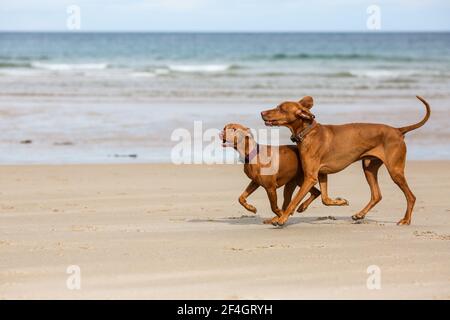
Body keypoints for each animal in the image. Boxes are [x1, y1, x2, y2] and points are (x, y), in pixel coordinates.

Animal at [262, 95, 430, 225]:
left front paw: (282, 218)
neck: (307, 132)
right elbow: (325, 199)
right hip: (368, 168)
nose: (261, 112)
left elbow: (293, 201)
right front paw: (339, 201)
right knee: (377, 195)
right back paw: (360, 214)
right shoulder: (321, 174)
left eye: (281, 108)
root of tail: (398, 130)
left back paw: (406, 220)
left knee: (411, 196)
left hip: (395, 171)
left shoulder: (310, 177)